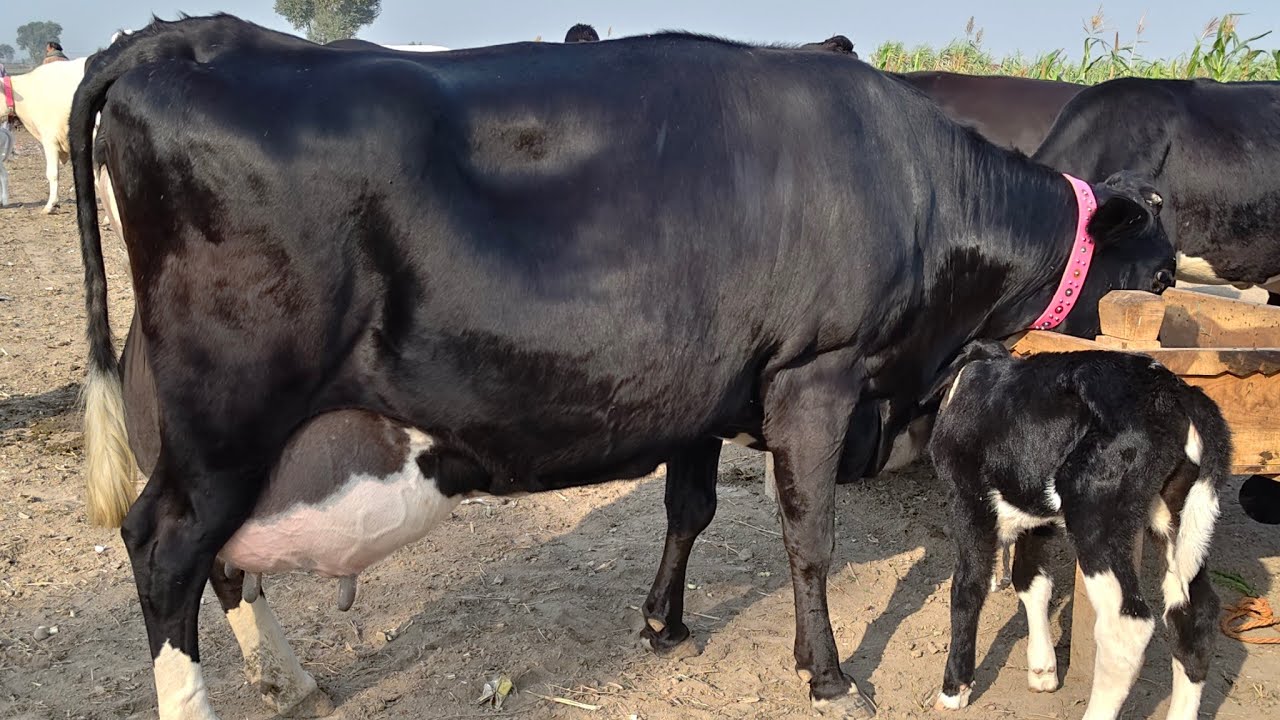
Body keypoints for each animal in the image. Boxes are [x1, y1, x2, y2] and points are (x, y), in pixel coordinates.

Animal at [71, 15, 1174, 719]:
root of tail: (174, 42)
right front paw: (825, 675)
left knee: (220, 562)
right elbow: (807, 539)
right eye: (1161, 277)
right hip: (227, 403)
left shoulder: (703, 388)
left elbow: (690, 509)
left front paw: (662, 623)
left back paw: (290, 680)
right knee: (165, 550)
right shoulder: (816, 375)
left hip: (212, 424)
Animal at [928, 341, 1230, 720]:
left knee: (1126, 626)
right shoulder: (1035, 517)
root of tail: (1174, 390)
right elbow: (1031, 580)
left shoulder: (968, 502)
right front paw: (1043, 670)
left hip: (1094, 516)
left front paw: (954, 689)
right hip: (1177, 520)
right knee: (1195, 615)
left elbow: (967, 588)